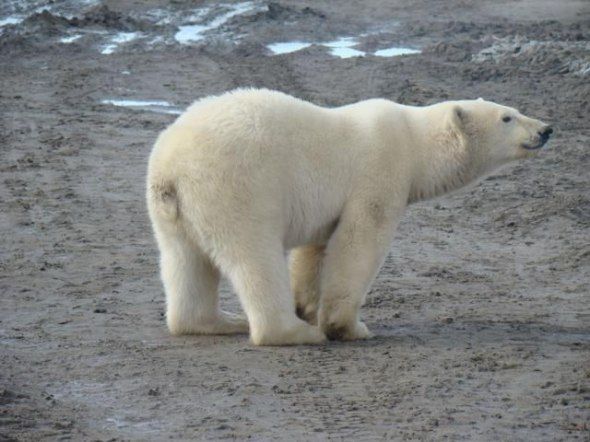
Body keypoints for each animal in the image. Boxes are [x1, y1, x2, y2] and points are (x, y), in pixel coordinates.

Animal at [148, 89, 556, 346]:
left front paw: (308, 306)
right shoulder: (379, 171)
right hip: (237, 187)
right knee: (254, 257)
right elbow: (359, 241)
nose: (546, 129)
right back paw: (293, 333)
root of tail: (171, 166)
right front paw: (345, 326)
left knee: (185, 261)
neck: (414, 140)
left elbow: (316, 249)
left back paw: (215, 321)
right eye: (507, 117)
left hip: (173, 212)